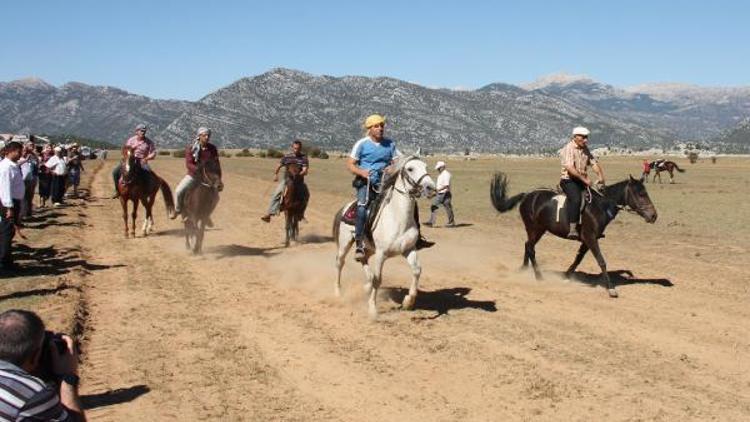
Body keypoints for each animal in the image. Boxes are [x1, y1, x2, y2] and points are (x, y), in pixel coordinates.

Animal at [334, 157, 434, 318]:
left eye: (425, 166)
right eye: (410, 168)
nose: (430, 187)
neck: (398, 218)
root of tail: (346, 207)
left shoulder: (409, 249)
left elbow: (417, 270)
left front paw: (408, 302)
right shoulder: (381, 254)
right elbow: (378, 279)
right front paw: (372, 310)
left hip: (368, 247)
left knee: (363, 258)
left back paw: (366, 286)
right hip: (345, 244)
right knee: (339, 263)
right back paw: (338, 293)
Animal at [494, 173, 656, 298]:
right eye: (641, 194)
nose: (654, 215)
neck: (599, 206)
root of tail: (527, 195)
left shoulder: (587, 240)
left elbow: (578, 258)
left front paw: (566, 276)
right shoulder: (590, 238)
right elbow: (601, 261)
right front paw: (611, 289)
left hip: (538, 230)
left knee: (527, 245)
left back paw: (523, 269)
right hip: (534, 228)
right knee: (530, 248)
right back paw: (539, 277)